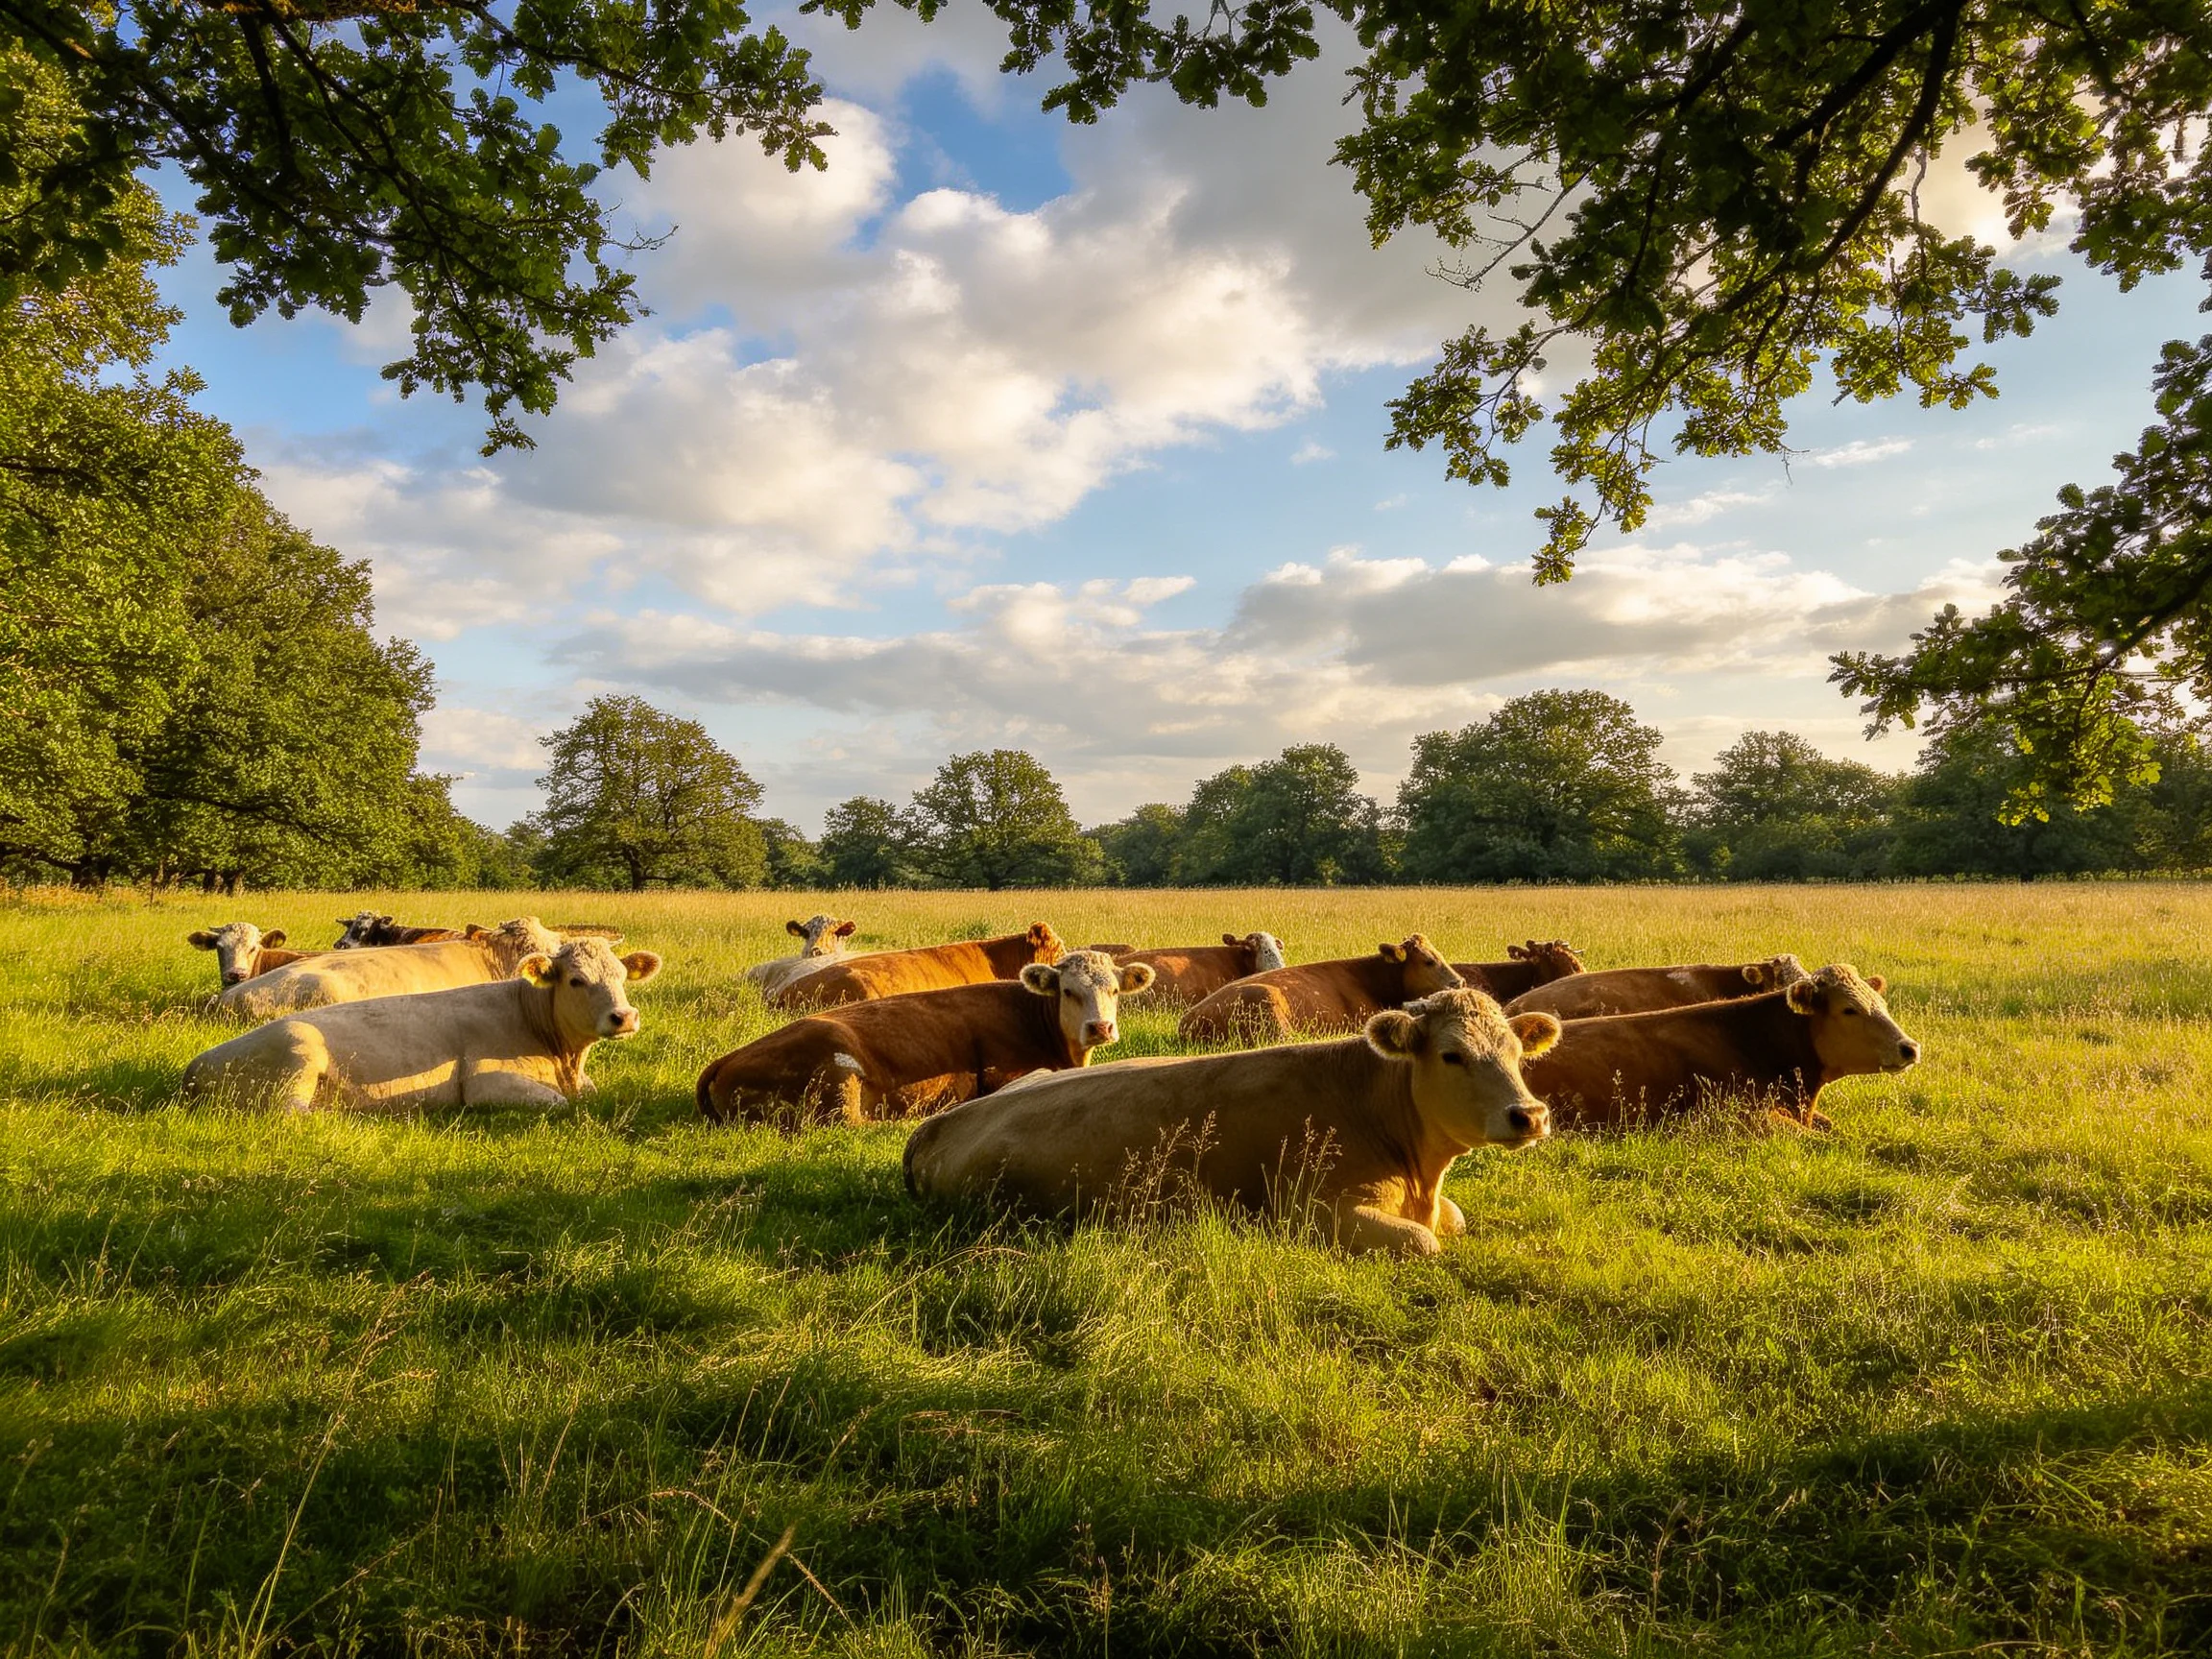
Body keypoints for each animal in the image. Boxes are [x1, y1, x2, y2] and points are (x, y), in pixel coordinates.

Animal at [183, 938, 661, 1112]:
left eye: (622, 975)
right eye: (576, 980)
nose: (624, 1017)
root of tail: (195, 1066)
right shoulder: (486, 1084)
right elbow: (561, 1105)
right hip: (295, 1057)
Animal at [906, 988, 1558, 1257]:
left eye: (1515, 1051)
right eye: (1451, 1055)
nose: (1528, 1115)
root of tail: (935, 1127)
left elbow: (1454, 1221)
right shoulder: (1310, 1210)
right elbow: (1427, 1241)